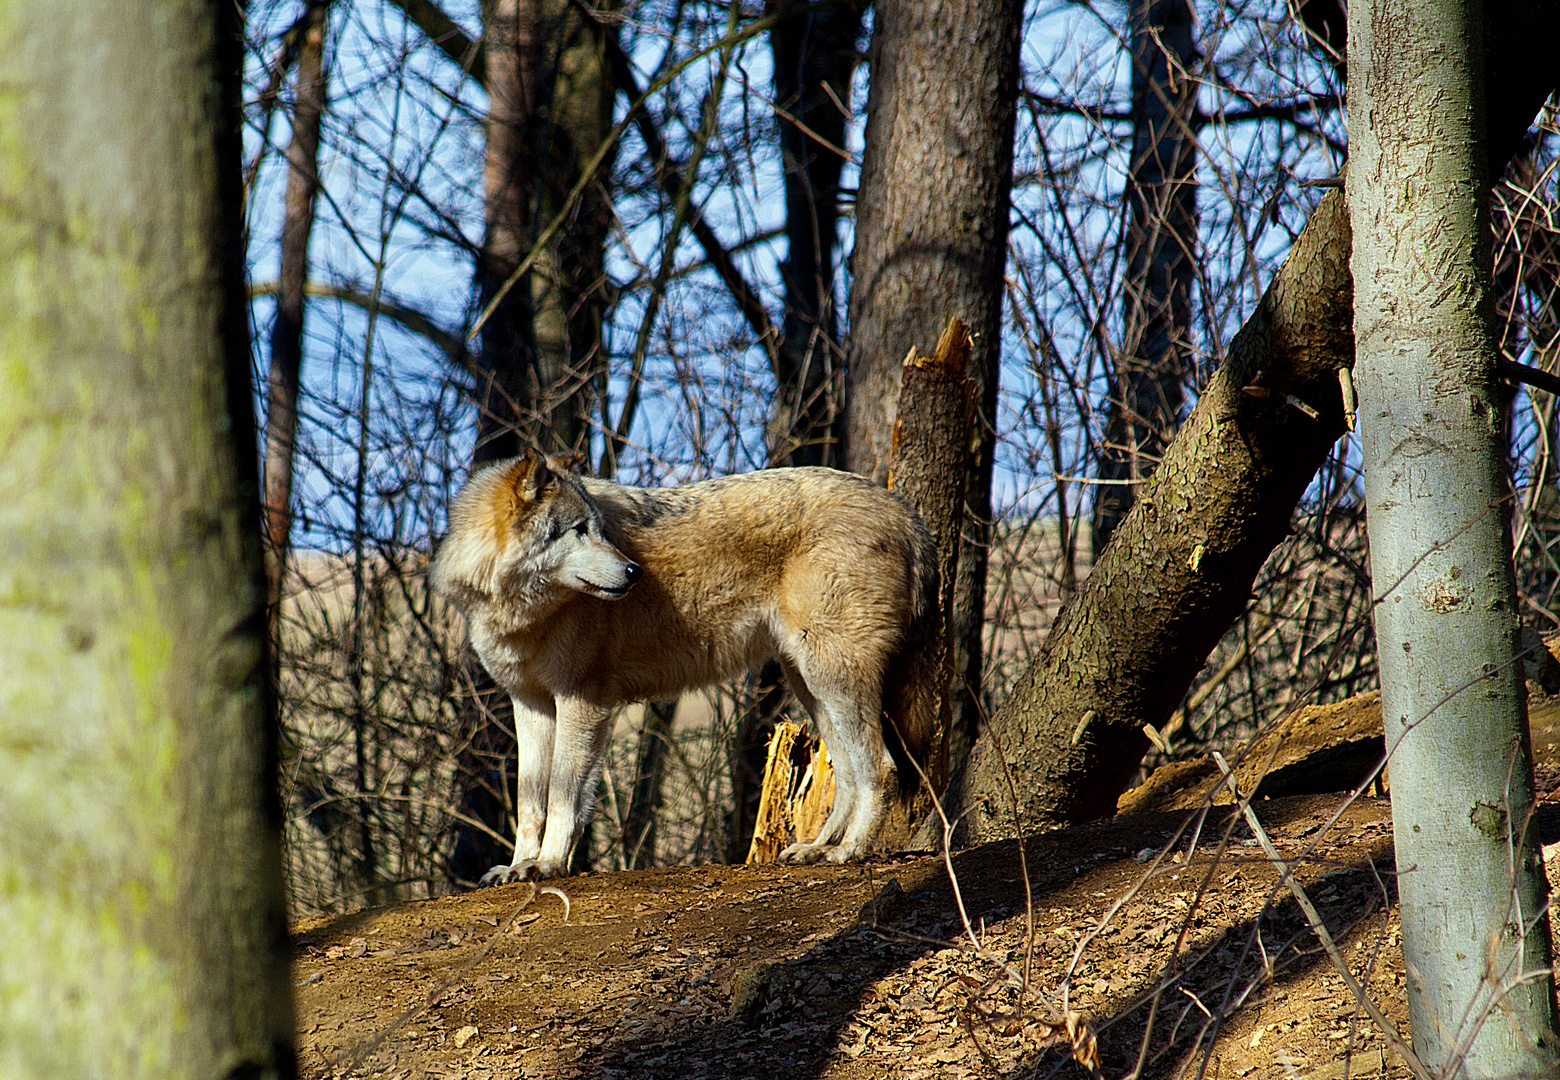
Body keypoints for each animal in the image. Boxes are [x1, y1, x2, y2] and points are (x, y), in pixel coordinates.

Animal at [430, 452, 935, 880]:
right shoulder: (530, 704)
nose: (633, 572)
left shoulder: (581, 701)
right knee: (847, 776)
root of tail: (904, 510)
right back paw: (816, 849)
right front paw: (519, 865)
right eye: (578, 530)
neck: (519, 609)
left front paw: (550, 864)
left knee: (881, 768)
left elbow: (562, 795)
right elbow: (530, 798)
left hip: (833, 680)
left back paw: (850, 851)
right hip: (811, 686)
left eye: (598, 529)